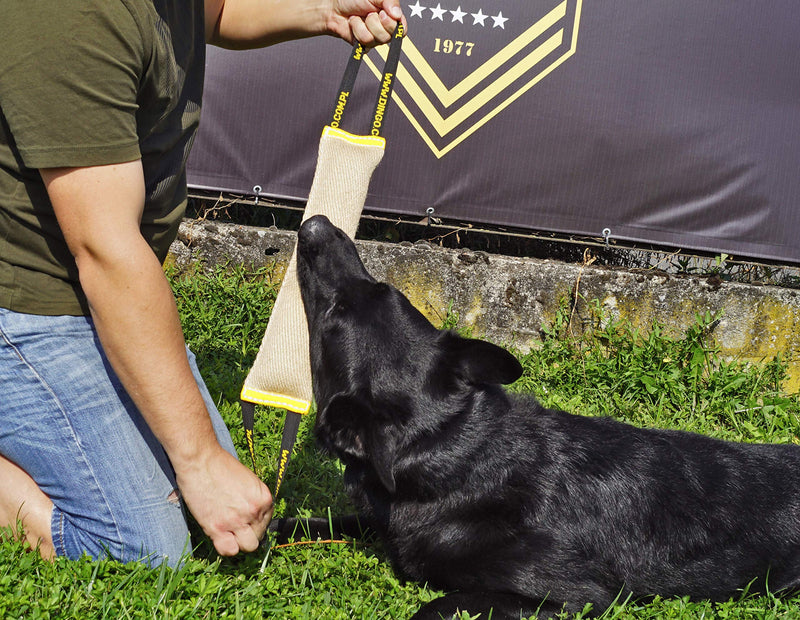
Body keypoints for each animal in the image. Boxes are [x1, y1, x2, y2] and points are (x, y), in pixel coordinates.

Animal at [288, 214, 800, 620]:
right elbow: (324, 521)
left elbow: (433, 607)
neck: (457, 449)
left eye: (334, 314)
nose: (315, 223)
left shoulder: (574, 599)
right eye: (381, 287)